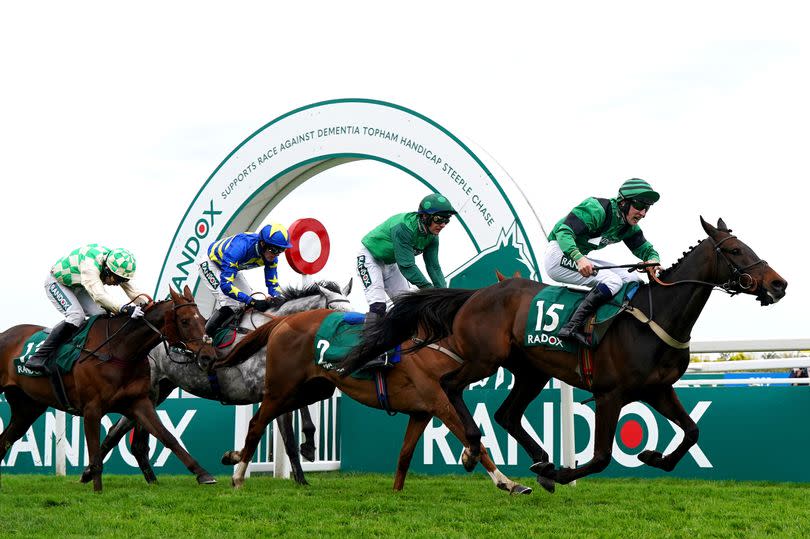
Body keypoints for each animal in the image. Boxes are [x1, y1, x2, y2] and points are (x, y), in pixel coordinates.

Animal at [0, 286, 218, 494]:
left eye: (204, 319)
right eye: (185, 321)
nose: (209, 356)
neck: (120, 350)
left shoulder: (140, 402)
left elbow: (168, 437)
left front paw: (203, 474)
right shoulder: (92, 409)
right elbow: (95, 455)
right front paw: (97, 491)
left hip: (28, 408)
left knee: (5, 440)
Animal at [78, 280, 350, 488]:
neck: (271, 334)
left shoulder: (282, 389)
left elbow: (295, 428)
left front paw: (306, 464)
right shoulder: (270, 392)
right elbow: (285, 438)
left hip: (157, 391)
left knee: (126, 437)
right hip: (149, 393)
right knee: (125, 436)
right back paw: (94, 473)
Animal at [211, 310, 532, 496]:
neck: (438, 342)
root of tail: (282, 320)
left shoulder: (421, 412)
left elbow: (405, 455)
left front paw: (396, 493)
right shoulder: (439, 400)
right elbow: (473, 437)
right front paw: (508, 482)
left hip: (313, 390)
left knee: (273, 418)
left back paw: (239, 456)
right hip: (281, 387)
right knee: (257, 422)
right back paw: (237, 476)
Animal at [340, 219, 784, 494]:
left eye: (747, 246)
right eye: (736, 250)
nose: (778, 284)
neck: (654, 317)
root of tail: (476, 293)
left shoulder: (658, 390)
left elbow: (692, 432)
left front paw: (651, 455)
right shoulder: (610, 394)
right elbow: (602, 457)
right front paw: (562, 471)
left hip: (529, 371)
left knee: (506, 414)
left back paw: (534, 461)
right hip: (484, 359)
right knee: (452, 387)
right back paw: (475, 447)